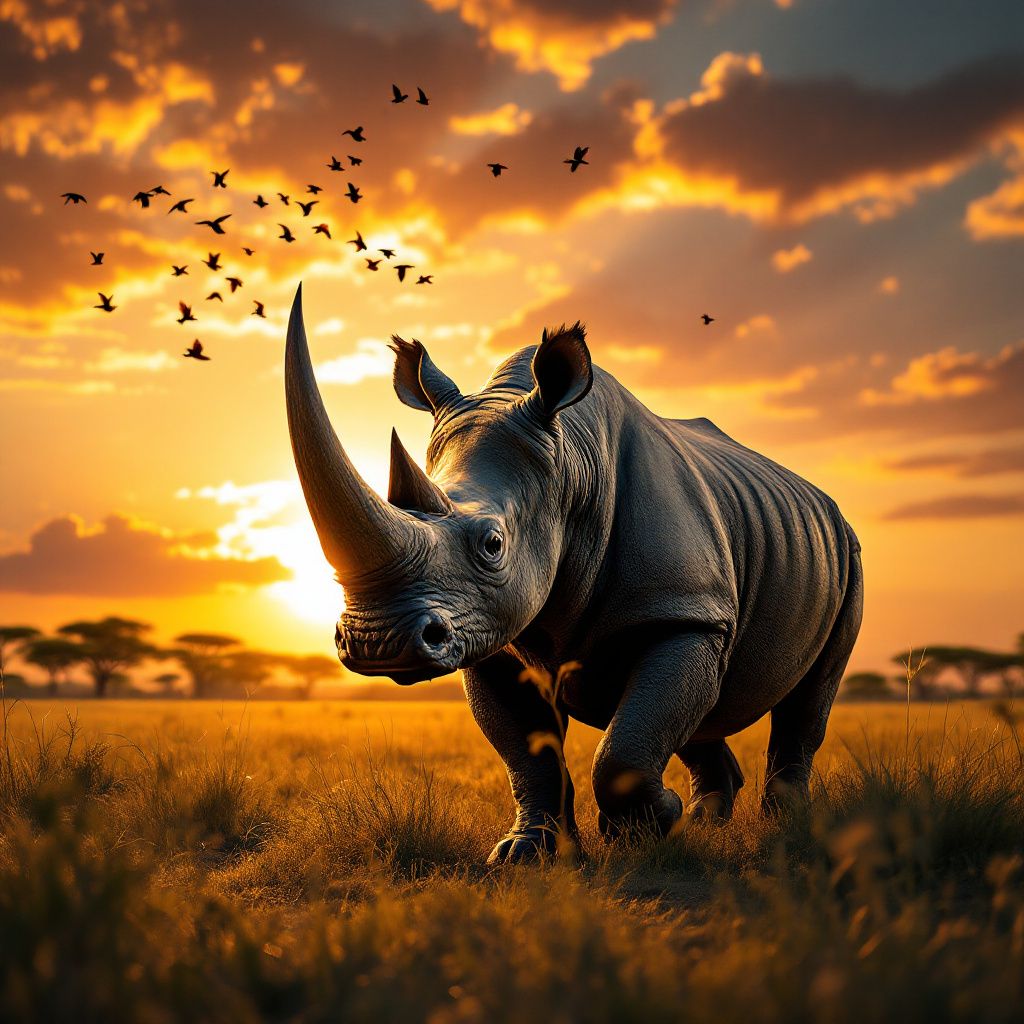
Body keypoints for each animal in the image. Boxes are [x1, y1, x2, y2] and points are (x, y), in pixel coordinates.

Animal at [285, 285, 863, 862]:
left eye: (493, 545)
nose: (377, 643)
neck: (570, 467)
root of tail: (827, 504)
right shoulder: (491, 635)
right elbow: (529, 753)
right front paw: (526, 853)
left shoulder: (684, 611)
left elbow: (625, 749)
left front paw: (646, 827)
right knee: (705, 711)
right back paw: (706, 823)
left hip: (845, 552)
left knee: (807, 700)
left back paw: (782, 828)